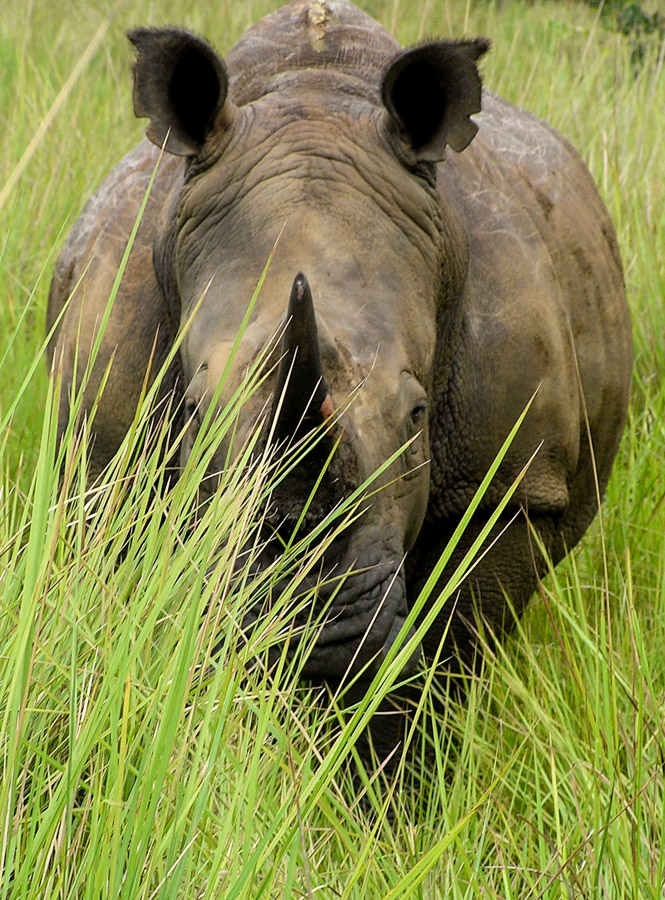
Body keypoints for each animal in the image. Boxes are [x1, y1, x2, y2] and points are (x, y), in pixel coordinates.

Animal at [47, 0, 631, 712]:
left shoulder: (511, 485)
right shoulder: (104, 453)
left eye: (417, 414)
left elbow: (450, 656)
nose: (308, 635)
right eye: (194, 411)